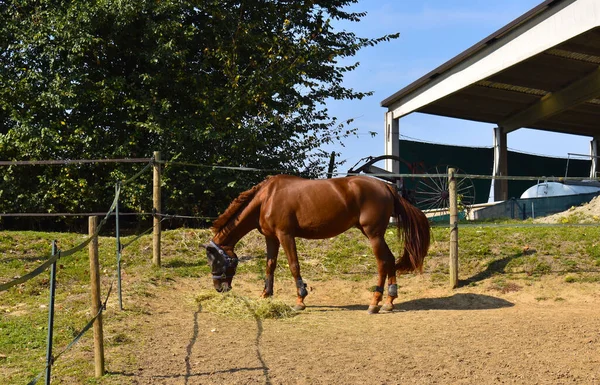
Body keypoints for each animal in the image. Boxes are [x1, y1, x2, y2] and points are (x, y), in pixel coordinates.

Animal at [204, 174, 428, 312]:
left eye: (217, 261)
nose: (219, 288)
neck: (267, 197)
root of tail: (387, 187)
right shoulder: (271, 237)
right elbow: (270, 266)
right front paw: (265, 295)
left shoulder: (285, 235)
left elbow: (294, 265)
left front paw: (300, 299)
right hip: (375, 235)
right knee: (390, 260)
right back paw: (389, 301)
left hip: (374, 235)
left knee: (382, 263)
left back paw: (374, 303)